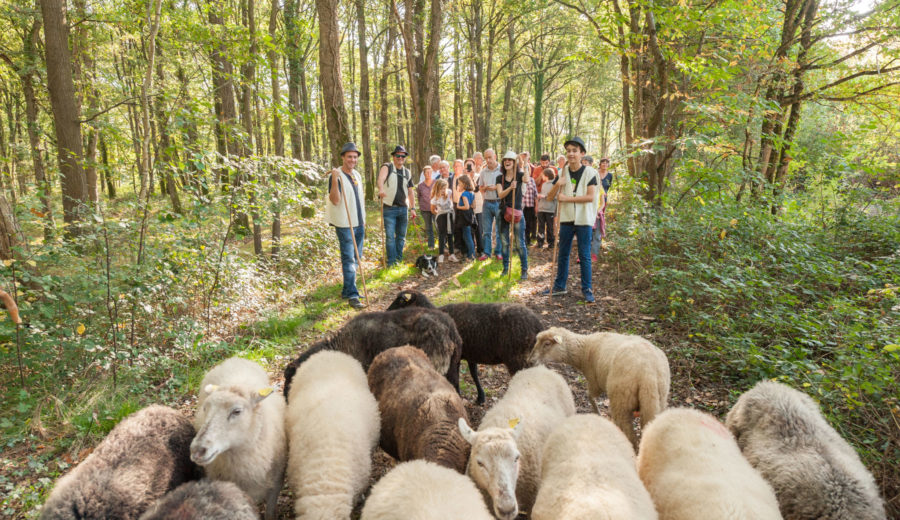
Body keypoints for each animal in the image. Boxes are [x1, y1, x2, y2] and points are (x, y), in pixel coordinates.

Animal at [190, 357, 286, 520]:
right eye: (205, 408)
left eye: (237, 411)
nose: (197, 450)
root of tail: (235, 358)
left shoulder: (277, 481)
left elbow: (270, 512)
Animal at [387, 290, 545, 405]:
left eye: (401, 300)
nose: (387, 311)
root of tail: (538, 325)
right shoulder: (470, 354)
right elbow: (474, 374)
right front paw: (481, 398)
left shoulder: (456, 357)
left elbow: (456, 378)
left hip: (518, 359)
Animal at [528, 327, 669, 447]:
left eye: (547, 344)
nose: (530, 361)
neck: (584, 350)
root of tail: (648, 373)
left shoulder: (594, 382)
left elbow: (590, 396)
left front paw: (597, 413)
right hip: (658, 400)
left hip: (621, 399)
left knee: (631, 437)